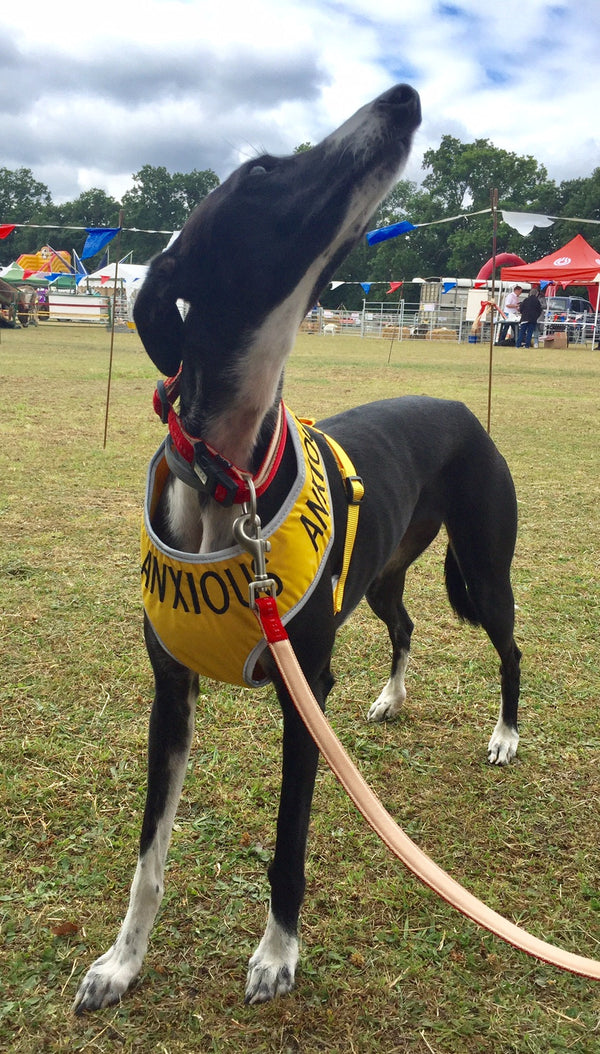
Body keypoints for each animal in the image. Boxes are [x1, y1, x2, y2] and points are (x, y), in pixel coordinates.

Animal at [73, 84, 518, 1011]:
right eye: (261, 174)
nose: (403, 96)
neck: (227, 479)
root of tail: (461, 406)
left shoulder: (303, 687)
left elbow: (287, 844)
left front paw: (276, 954)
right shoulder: (170, 693)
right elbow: (147, 859)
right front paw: (121, 962)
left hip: (485, 567)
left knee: (512, 649)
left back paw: (505, 736)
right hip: (382, 576)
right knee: (405, 625)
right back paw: (391, 698)